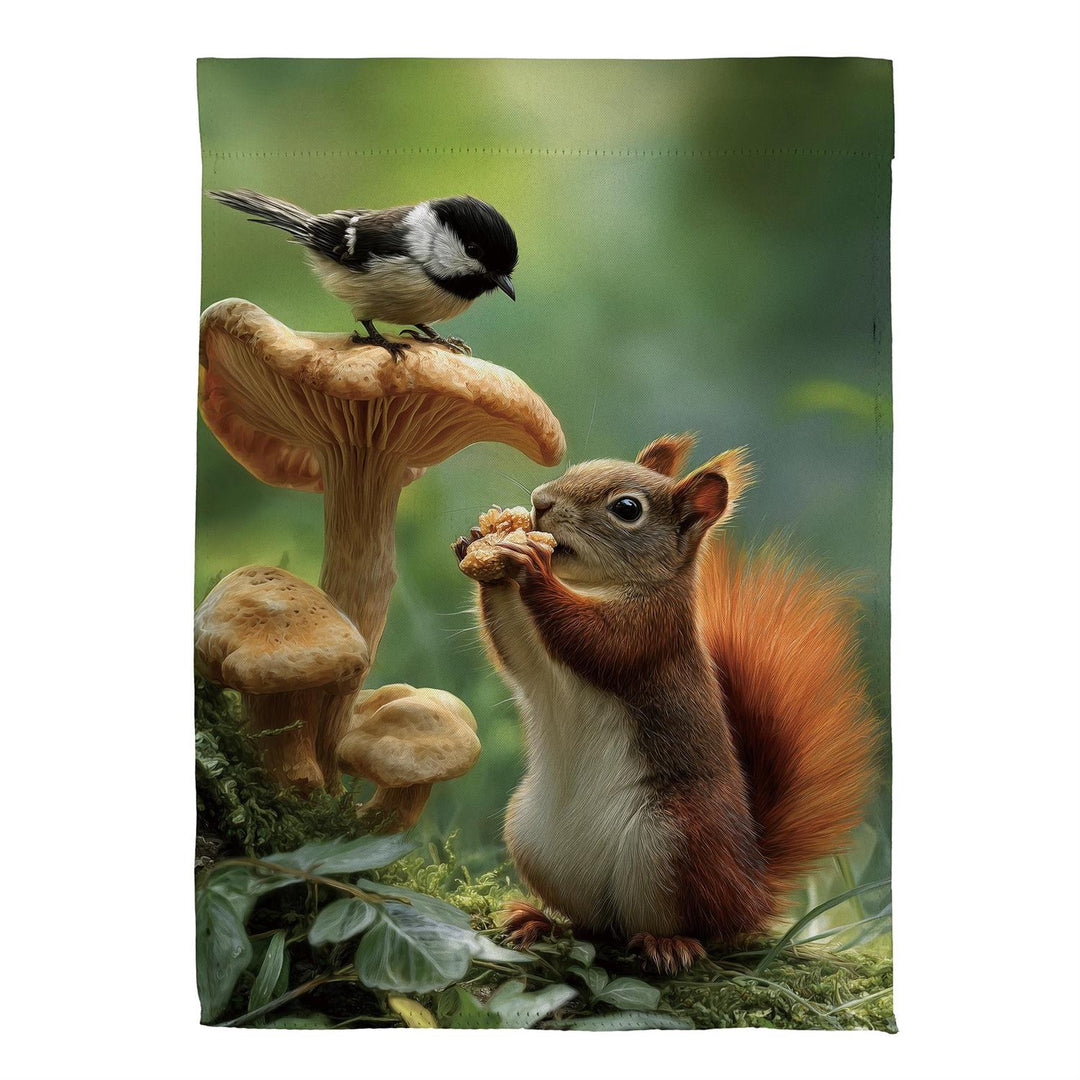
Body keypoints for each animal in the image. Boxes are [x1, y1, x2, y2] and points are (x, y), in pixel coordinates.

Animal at [453, 434, 879, 974]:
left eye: (627, 509)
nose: (540, 502)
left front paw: (532, 567)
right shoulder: (537, 661)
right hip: (534, 835)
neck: (599, 588)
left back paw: (670, 943)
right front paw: (480, 545)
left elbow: (592, 641)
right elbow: (514, 650)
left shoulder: (649, 633)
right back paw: (539, 921)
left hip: (679, 842)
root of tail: (750, 888)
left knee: (693, 926)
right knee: (594, 924)